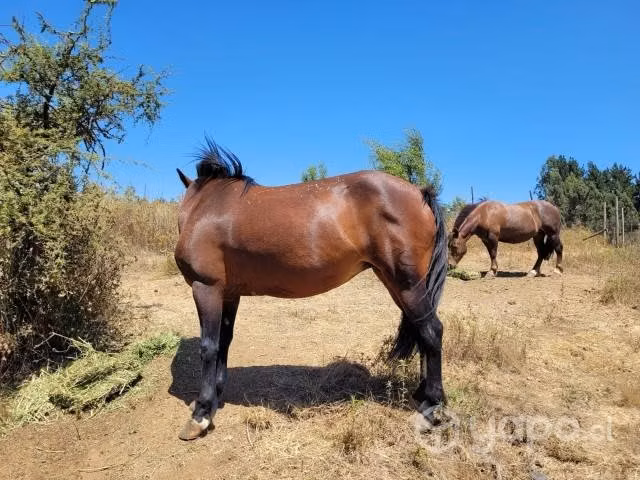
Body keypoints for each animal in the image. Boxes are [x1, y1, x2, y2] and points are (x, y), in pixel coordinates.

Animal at [173, 138, 448, 440]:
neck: (206, 207)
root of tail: (420, 192)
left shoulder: (206, 288)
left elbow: (208, 346)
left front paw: (200, 413)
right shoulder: (230, 293)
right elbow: (224, 341)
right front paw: (215, 397)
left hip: (407, 285)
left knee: (432, 331)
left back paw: (432, 405)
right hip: (396, 284)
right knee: (422, 332)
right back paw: (422, 394)